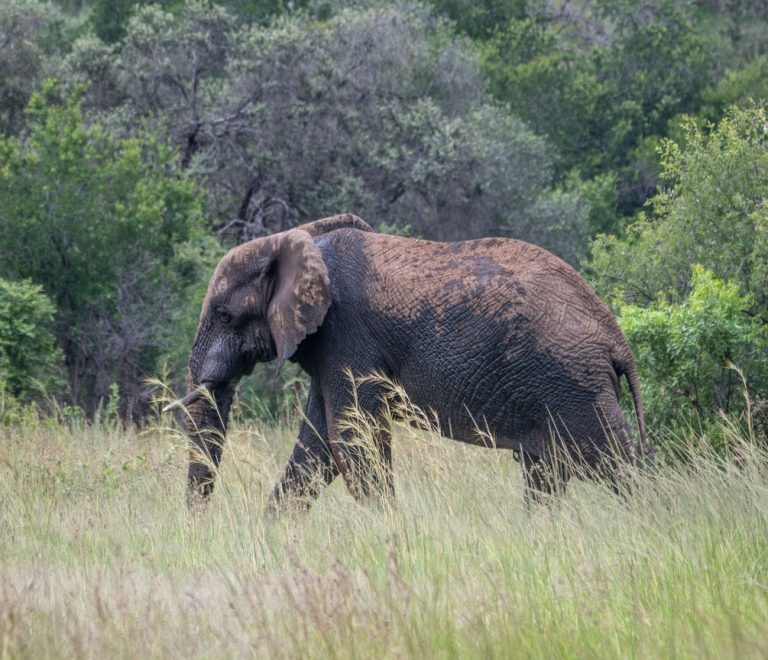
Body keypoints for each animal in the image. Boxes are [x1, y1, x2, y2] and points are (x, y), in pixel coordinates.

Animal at [165, 213, 649, 510]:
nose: (200, 527)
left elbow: (351, 442)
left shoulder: (348, 334)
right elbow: (318, 447)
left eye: (224, 315)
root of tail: (615, 337)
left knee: (619, 465)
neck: (299, 239)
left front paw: (389, 530)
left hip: (573, 384)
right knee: (546, 474)